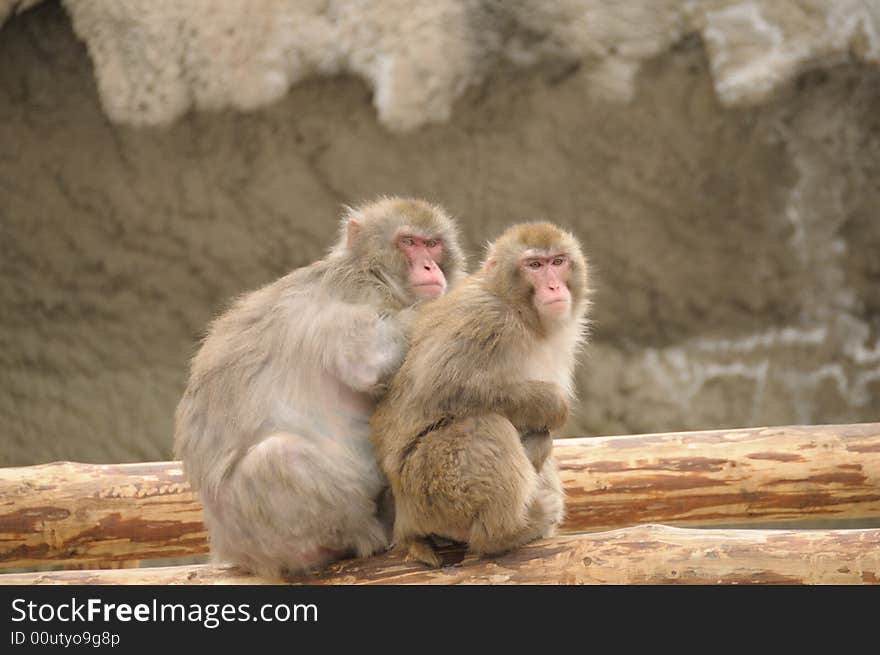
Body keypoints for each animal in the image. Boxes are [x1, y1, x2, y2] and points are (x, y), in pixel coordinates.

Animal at [168, 196, 464, 580]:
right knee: (277, 457)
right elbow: (366, 359)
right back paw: (369, 535)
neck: (371, 270)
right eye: (408, 242)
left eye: (433, 243)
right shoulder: (359, 292)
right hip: (261, 535)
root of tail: (229, 548)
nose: (430, 266)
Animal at [372, 222, 592, 568]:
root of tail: (405, 523)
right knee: (484, 425)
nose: (554, 286)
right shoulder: (488, 320)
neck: (523, 315)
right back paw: (505, 534)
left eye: (558, 262)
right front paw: (554, 405)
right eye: (534, 265)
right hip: (432, 486)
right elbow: (443, 387)